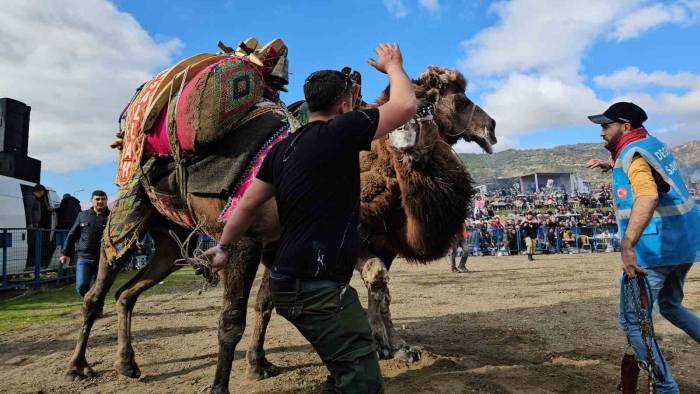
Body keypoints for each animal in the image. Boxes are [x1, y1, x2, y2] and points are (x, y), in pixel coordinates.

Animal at [63, 37, 494, 394]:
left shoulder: (292, 243)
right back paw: (78, 367)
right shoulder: (247, 240)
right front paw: (222, 385)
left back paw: (127, 365)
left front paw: (261, 364)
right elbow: (233, 318)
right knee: (98, 292)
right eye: (459, 98)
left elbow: (272, 303)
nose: (490, 127)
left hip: (170, 241)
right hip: (127, 215)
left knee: (127, 294)